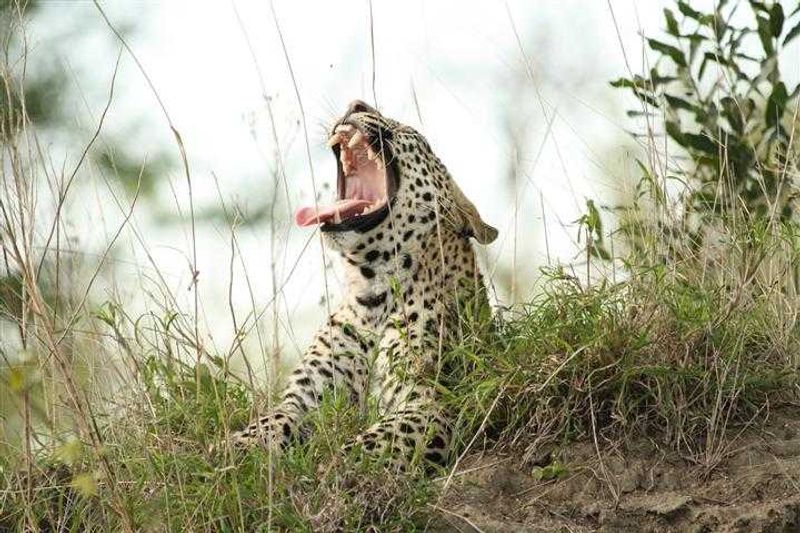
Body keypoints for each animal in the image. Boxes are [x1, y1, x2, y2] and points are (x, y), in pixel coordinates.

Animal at [230, 100, 498, 471]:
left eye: (412, 134)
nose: (357, 103)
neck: (373, 292)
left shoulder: (430, 403)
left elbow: (372, 444)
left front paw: (333, 469)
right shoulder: (304, 396)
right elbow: (271, 420)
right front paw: (229, 452)